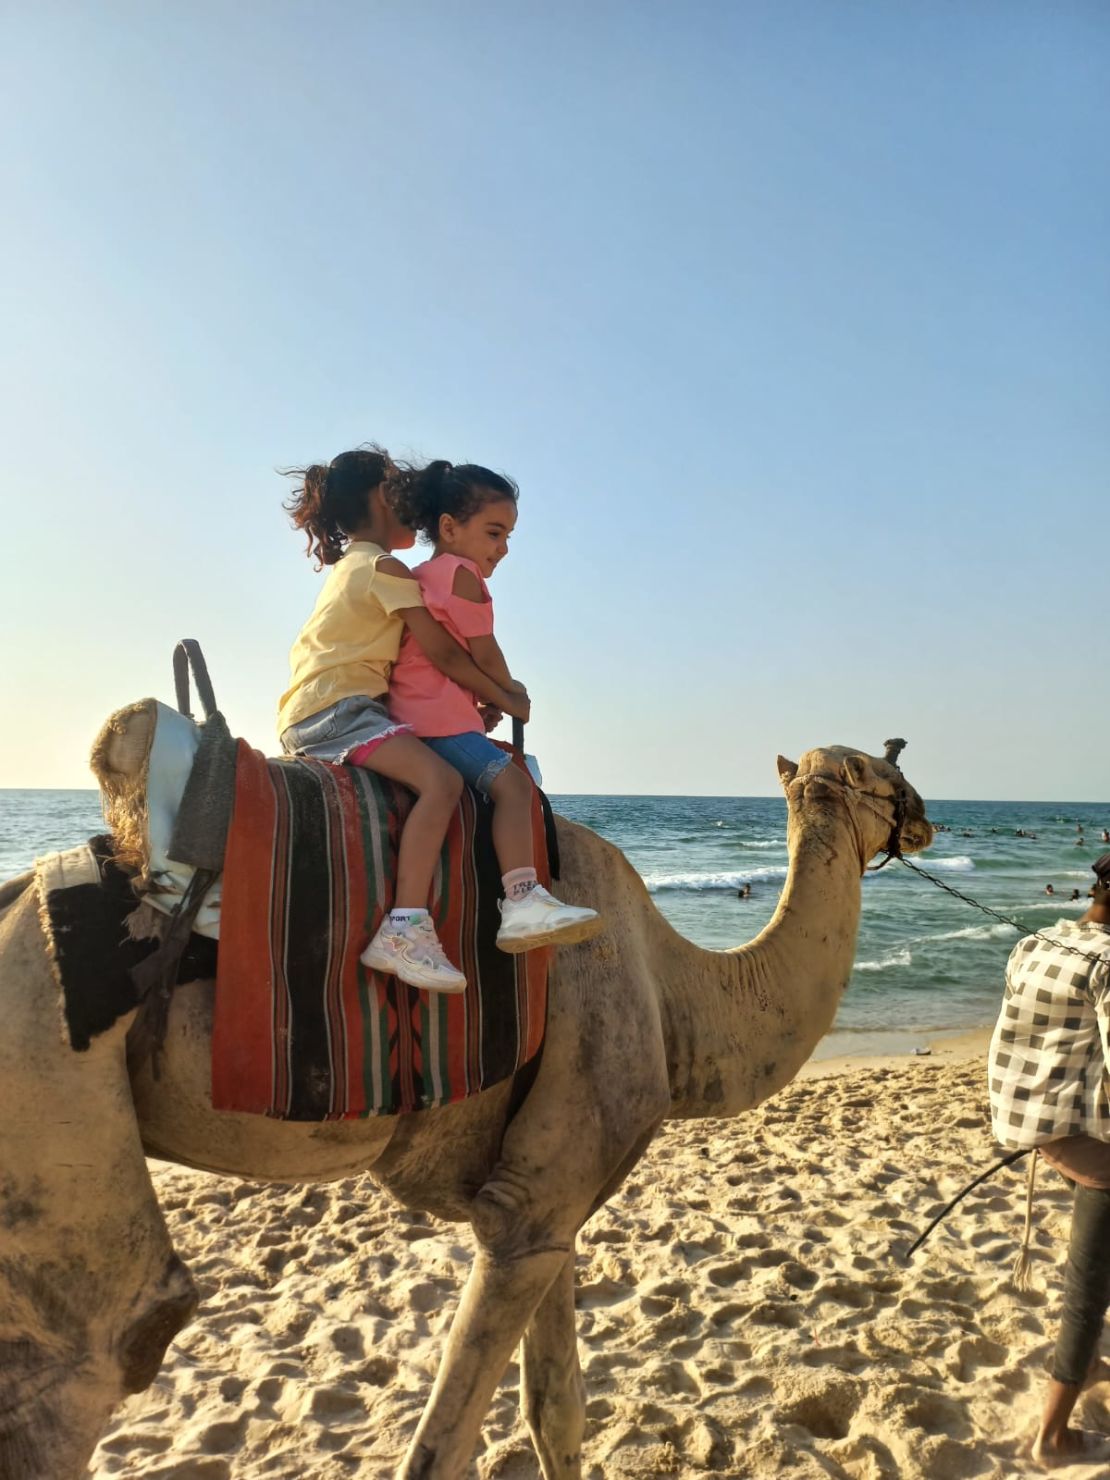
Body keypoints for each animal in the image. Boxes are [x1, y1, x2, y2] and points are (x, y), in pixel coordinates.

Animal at [0, 707, 941, 1480]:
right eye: (877, 774)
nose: (927, 813)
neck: (675, 987)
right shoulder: (529, 1205)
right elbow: (443, 1450)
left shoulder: (548, 1203)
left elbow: (557, 1412)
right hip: (46, 1059)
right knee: (103, 1337)